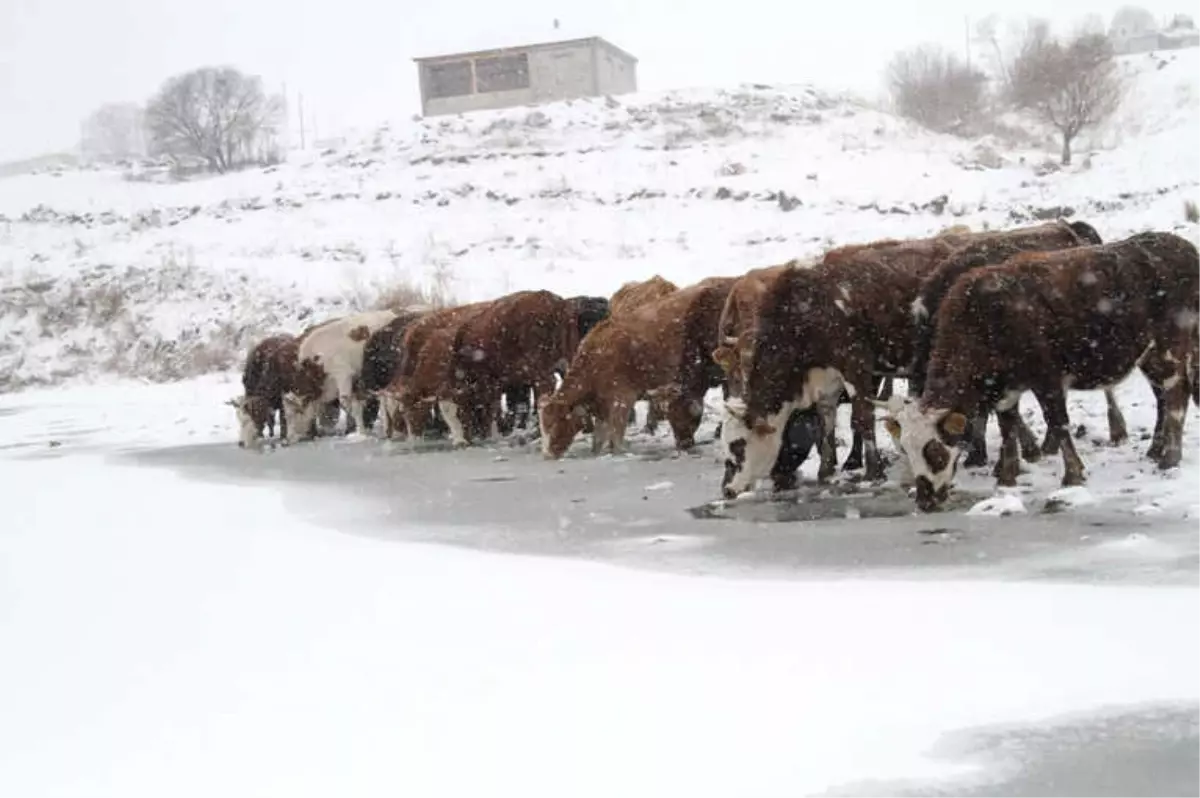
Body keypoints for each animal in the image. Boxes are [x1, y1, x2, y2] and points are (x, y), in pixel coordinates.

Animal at [542, 277, 729, 458]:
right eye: (544, 425)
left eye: (556, 423)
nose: (548, 455)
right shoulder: (602, 408)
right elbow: (598, 440)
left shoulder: (621, 399)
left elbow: (616, 438)